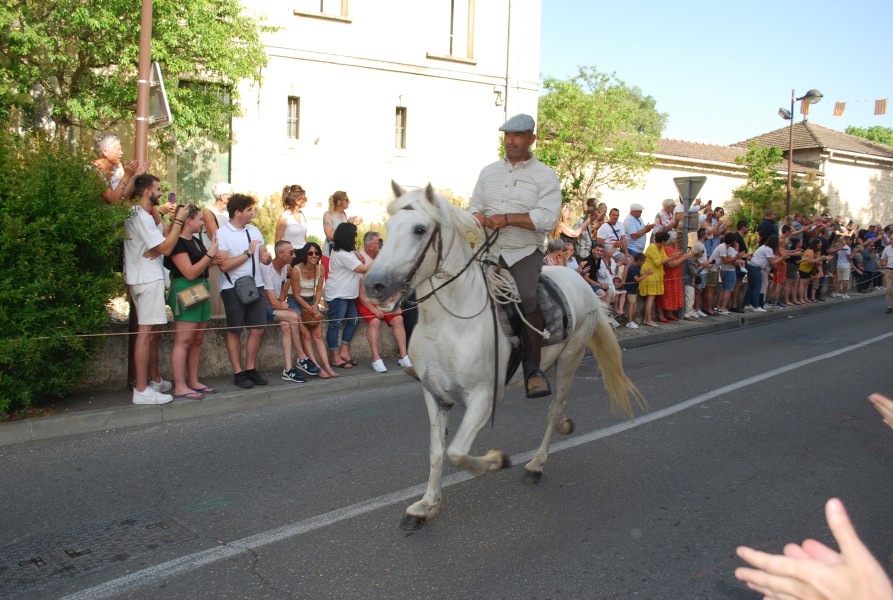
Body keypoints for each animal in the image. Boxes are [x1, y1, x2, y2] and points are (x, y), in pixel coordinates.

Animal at [366, 183, 644, 528]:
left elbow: (457, 452)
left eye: (419, 229)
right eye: (389, 227)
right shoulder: (435, 394)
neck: (448, 322)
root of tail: (581, 282)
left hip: (570, 358)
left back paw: (536, 464)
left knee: (555, 408)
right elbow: (437, 452)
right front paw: (425, 506)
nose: (374, 285)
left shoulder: (483, 397)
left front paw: (497, 460)